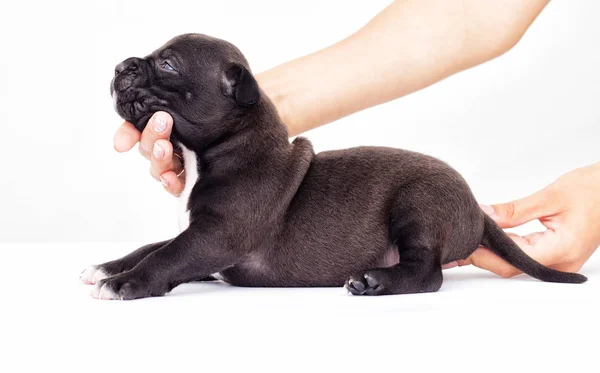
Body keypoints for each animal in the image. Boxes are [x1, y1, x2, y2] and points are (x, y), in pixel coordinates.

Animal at [79, 32, 584, 300]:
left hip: (418, 203)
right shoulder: (201, 232)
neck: (230, 143)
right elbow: (154, 244)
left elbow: (169, 254)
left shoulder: (216, 236)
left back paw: (374, 281)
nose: (120, 66)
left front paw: (127, 283)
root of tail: (478, 210)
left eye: (167, 64)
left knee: (428, 273)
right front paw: (108, 267)